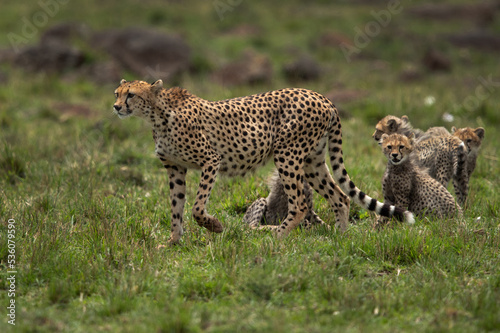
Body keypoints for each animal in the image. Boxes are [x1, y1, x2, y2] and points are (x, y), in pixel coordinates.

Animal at [114, 79, 414, 243]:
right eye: (117, 93)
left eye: (131, 94)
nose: (116, 107)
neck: (157, 115)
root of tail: (321, 96)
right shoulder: (175, 168)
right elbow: (176, 208)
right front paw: (173, 242)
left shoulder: (211, 160)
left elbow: (197, 208)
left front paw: (215, 226)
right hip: (312, 161)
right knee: (340, 197)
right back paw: (340, 238)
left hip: (287, 154)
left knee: (300, 203)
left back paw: (277, 236)